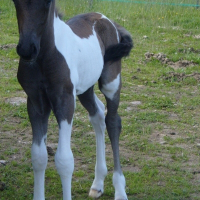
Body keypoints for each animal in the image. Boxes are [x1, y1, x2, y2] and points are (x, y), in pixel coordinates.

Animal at [12, 0, 133, 200]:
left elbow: (65, 160)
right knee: (98, 115)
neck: (46, 56)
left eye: (47, 3)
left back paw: (120, 190)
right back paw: (98, 183)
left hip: (111, 82)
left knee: (113, 122)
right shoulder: (35, 102)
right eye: (16, 2)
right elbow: (38, 156)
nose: (27, 50)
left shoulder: (65, 100)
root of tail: (109, 21)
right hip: (85, 88)